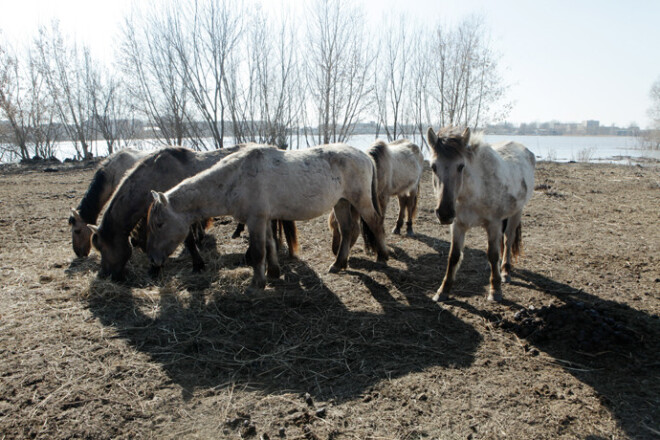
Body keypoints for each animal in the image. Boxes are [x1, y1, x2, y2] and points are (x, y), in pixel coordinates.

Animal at [147, 143, 390, 290]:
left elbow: (257, 251)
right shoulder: (263, 219)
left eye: (159, 224)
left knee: (376, 223)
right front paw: (273, 273)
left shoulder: (255, 220)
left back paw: (383, 256)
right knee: (348, 230)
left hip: (360, 201)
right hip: (341, 203)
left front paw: (257, 283)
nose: (154, 260)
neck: (235, 178)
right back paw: (339, 264)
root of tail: (364, 155)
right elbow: (270, 245)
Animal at [428, 125, 536, 300]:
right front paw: (443, 290)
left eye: (461, 166)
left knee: (508, 240)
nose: (444, 213)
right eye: (433, 166)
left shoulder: (493, 224)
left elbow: (493, 254)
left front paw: (495, 290)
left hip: (517, 212)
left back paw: (505, 272)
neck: (473, 192)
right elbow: (454, 256)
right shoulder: (457, 225)